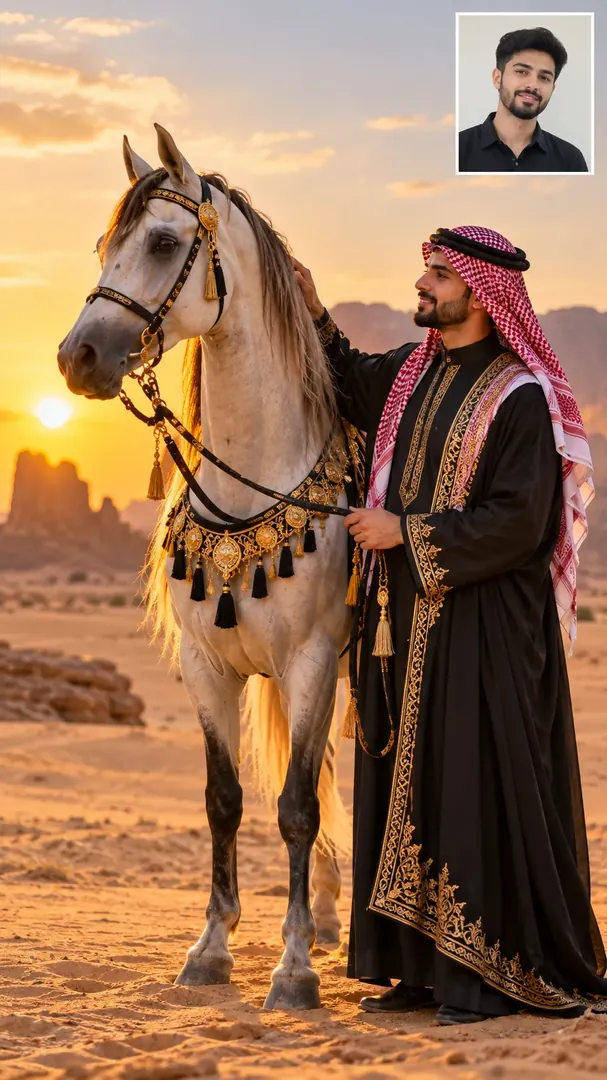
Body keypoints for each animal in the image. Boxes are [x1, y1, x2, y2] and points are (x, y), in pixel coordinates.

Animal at [57, 124, 353, 1011]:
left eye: (162, 241)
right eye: (105, 244)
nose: (78, 356)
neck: (248, 484)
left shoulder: (312, 662)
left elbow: (295, 807)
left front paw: (292, 970)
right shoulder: (206, 666)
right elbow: (224, 802)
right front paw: (211, 949)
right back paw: (329, 917)